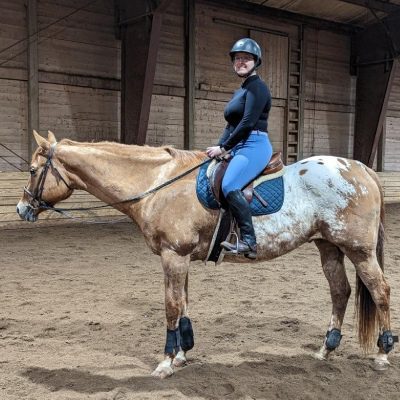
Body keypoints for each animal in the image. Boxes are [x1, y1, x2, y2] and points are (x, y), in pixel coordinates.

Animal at [16, 131, 394, 378]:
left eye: (33, 171)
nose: (21, 209)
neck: (158, 183)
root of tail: (361, 168)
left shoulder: (173, 255)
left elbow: (171, 306)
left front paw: (166, 362)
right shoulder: (177, 257)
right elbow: (182, 303)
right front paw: (182, 353)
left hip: (358, 250)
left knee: (380, 292)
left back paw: (382, 352)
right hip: (328, 246)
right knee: (340, 292)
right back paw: (327, 348)